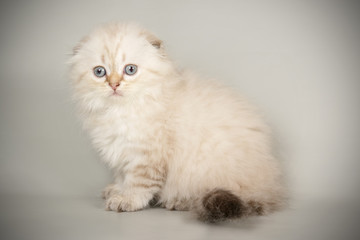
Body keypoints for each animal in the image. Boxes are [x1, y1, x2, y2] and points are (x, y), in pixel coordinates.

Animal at [69, 23, 284, 222]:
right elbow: (123, 177)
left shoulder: (147, 157)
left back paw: (178, 202)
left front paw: (127, 200)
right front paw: (117, 190)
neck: (120, 111)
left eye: (130, 69)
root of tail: (269, 189)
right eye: (99, 72)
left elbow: (139, 184)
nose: (114, 85)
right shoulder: (121, 153)